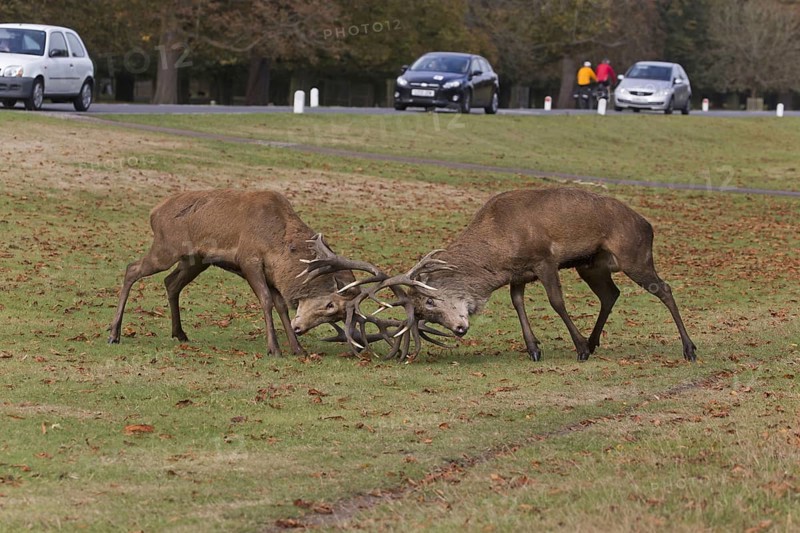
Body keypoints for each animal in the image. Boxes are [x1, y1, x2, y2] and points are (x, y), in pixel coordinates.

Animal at [108, 189, 374, 356]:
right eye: (331, 306)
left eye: (337, 315)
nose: (301, 329)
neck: (279, 247)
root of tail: (154, 212)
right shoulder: (249, 260)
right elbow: (266, 301)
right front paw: (274, 348)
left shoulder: (271, 274)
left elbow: (281, 305)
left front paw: (298, 348)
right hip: (166, 248)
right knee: (132, 269)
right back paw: (114, 334)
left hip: (195, 260)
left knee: (170, 282)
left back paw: (180, 333)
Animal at [335, 187, 697, 362]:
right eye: (425, 314)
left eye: (429, 301)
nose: (460, 329)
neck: (499, 251)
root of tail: (648, 225)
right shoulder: (518, 274)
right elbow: (517, 302)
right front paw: (534, 349)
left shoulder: (545, 260)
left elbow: (557, 302)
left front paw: (578, 348)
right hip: (591, 265)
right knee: (611, 294)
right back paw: (596, 342)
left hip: (634, 255)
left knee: (664, 288)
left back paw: (689, 349)